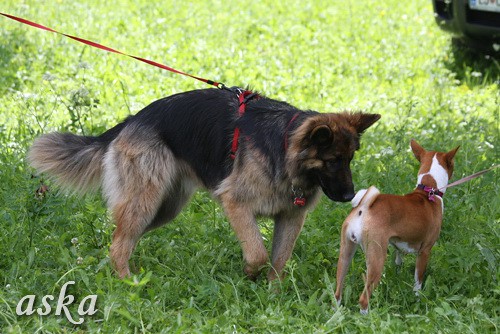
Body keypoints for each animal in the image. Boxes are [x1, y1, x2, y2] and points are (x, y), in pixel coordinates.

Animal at [28, 88, 378, 280]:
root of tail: (132, 120)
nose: (350, 195)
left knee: (120, 240)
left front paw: (270, 295)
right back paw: (127, 283)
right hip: (146, 201)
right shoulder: (236, 204)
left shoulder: (291, 217)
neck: (284, 145)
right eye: (332, 160)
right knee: (118, 244)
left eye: (350, 158)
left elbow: (279, 260)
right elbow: (257, 253)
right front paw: (249, 276)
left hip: (162, 209)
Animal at [334, 138, 458, 314]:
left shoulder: (398, 246)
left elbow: (399, 264)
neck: (428, 190)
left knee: (338, 291)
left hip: (345, 253)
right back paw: (367, 316)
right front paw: (417, 300)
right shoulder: (425, 251)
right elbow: (418, 282)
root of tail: (363, 207)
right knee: (363, 298)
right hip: (377, 258)